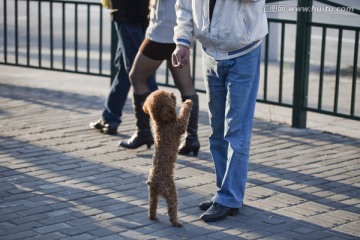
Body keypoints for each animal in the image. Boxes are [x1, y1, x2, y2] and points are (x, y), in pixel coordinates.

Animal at [143, 90, 194, 227]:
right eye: (168, 97)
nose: (172, 93)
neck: (161, 121)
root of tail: (153, 182)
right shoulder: (179, 126)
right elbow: (184, 114)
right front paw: (188, 102)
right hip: (171, 192)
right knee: (172, 209)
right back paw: (176, 222)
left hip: (152, 194)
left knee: (152, 207)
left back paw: (153, 217)